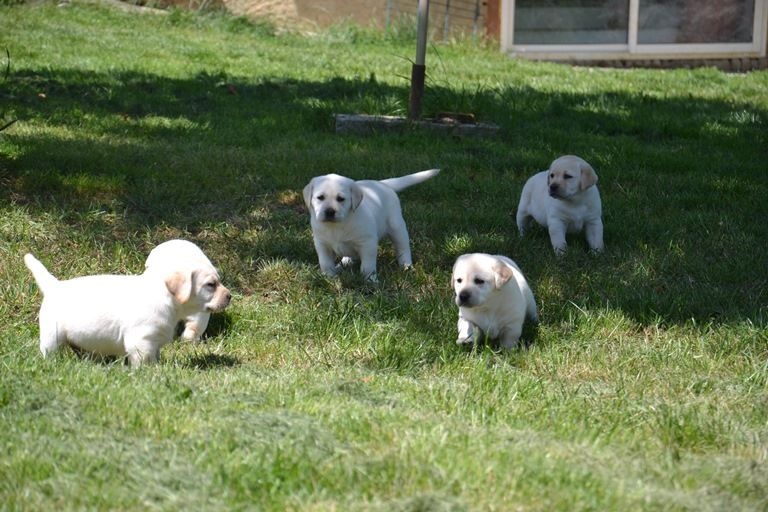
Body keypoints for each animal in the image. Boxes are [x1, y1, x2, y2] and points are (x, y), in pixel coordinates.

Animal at [25, 246, 232, 366]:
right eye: (211, 285)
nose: (230, 296)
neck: (164, 297)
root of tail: (54, 286)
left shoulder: (154, 342)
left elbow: (155, 358)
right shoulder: (141, 341)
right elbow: (143, 363)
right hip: (52, 335)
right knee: (48, 352)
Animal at [304, 168, 440, 282]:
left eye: (340, 199)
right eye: (320, 197)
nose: (329, 212)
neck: (336, 226)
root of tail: (382, 184)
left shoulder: (367, 243)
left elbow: (367, 266)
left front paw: (370, 281)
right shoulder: (322, 244)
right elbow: (325, 263)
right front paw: (329, 277)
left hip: (397, 227)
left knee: (403, 248)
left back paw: (406, 266)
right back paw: (345, 263)